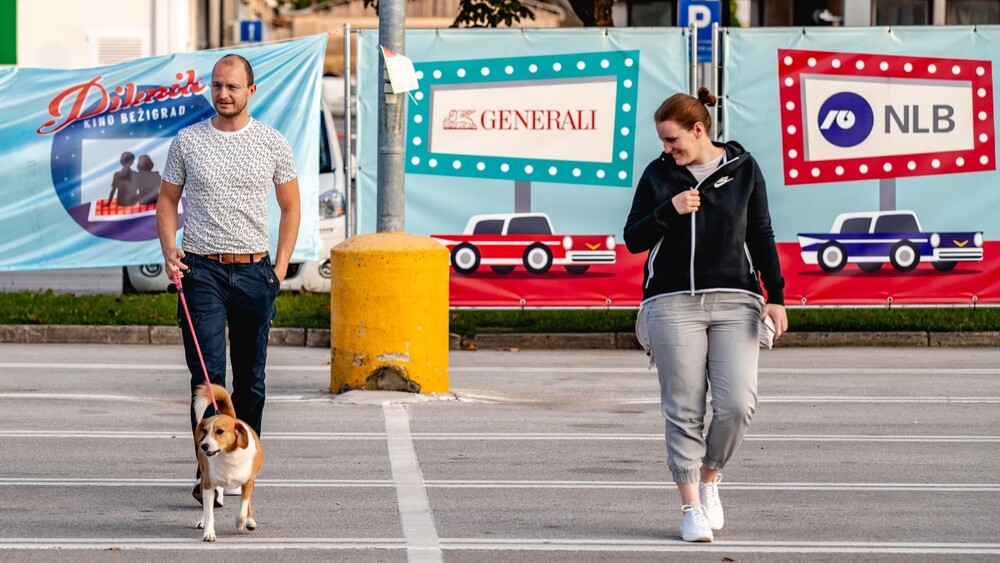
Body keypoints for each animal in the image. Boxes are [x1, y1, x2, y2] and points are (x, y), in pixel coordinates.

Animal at [192, 384, 264, 540]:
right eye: (205, 431)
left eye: (219, 431)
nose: (204, 446)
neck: (227, 455)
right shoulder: (208, 484)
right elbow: (209, 511)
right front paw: (209, 532)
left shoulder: (247, 482)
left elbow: (243, 507)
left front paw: (241, 522)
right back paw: (202, 520)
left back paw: (249, 521)